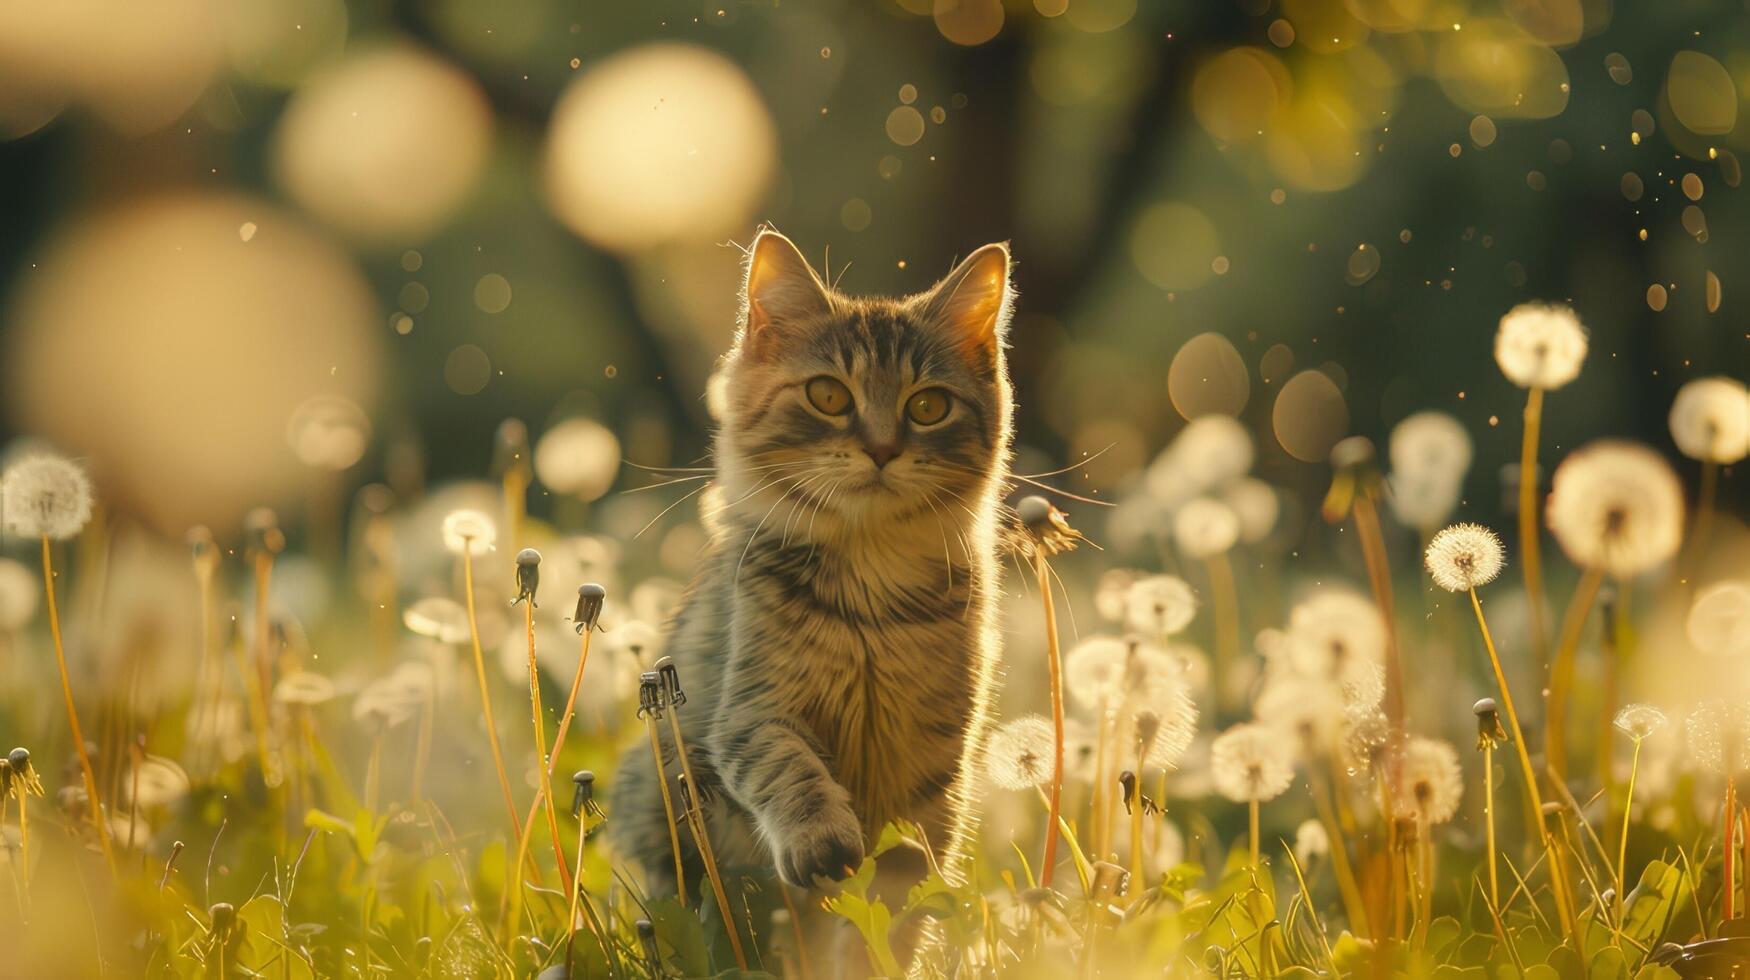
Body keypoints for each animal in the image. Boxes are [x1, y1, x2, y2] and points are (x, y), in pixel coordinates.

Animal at [612, 224, 1015, 931]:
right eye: (829, 396)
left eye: (928, 406)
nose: (882, 449)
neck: (871, 585)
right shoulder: (751, 712)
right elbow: (791, 769)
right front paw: (821, 839)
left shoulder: (936, 764)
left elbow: (894, 903)